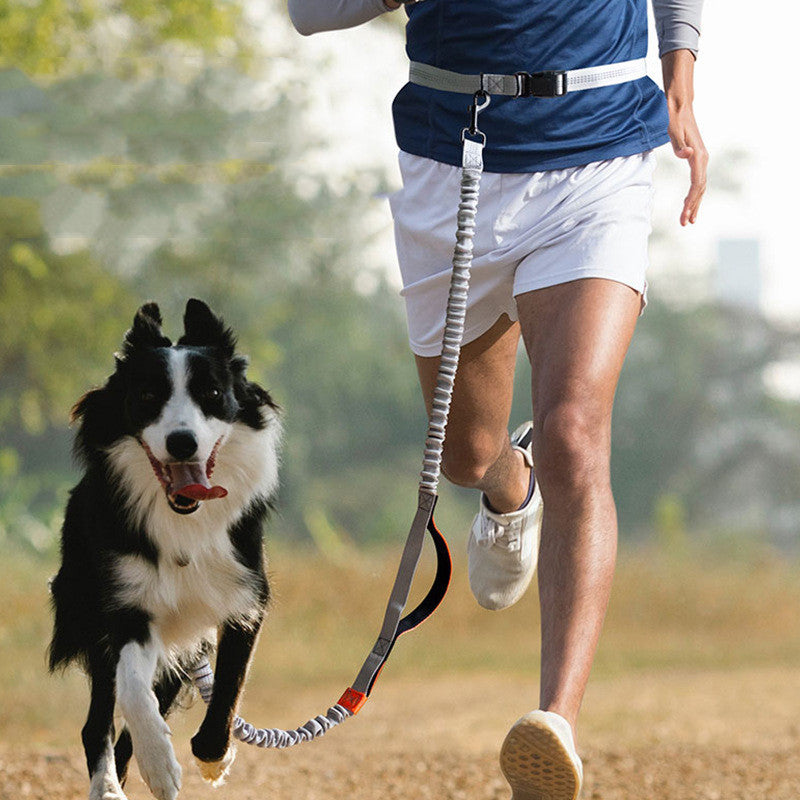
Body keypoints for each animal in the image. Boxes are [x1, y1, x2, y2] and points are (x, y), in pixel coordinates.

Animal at [48, 300, 282, 800]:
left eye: (212, 392)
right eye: (147, 396)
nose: (182, 442)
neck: (183, 520)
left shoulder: (244, 597)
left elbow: (230, 684)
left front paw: (213, 757)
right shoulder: (126, 603)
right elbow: (134, 691)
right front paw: (159, 763)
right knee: (99, 719)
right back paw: (108, 787)